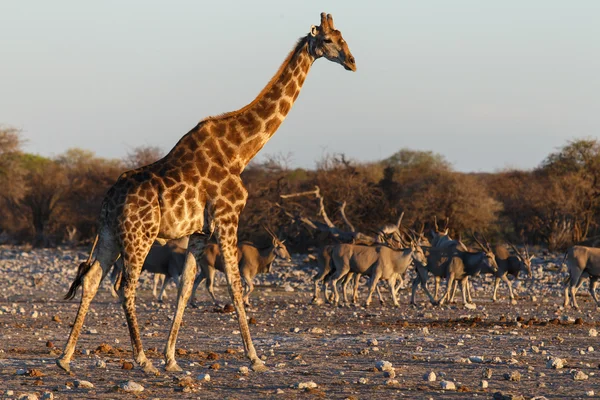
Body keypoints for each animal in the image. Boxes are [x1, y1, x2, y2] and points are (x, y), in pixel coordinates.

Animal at [56, 11, 356, 376]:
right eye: (328, 40)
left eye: (343, 37)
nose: (352, 62)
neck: (240, 152)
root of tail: (107, 201)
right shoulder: (229, 217)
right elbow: (235, 285)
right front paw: (255, 358)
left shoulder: (199, 231)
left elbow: (186, 286)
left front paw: (172, 358)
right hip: (140, 235)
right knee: (125, 287)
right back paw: (142, 360)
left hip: (111, 234)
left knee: (92, 279)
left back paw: (65, 357)